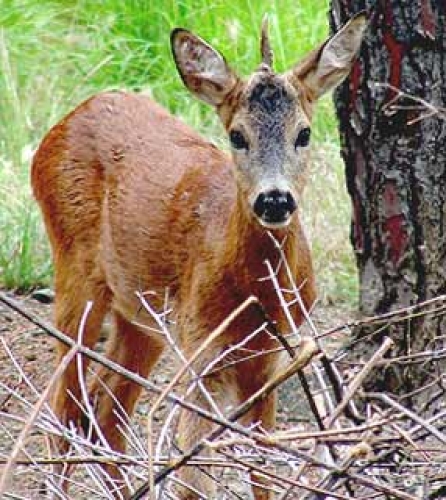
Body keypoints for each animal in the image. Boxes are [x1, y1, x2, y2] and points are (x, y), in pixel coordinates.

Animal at [32, 13, 366, 500]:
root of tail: (59, 127)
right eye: (237, 136)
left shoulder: (274, 355)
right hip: (76, 269)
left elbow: (263, 465)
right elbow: (193, 478)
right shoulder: (200, 346)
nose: (274, 200)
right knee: (64, 406)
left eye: (303, 133)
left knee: (106, 406)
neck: (257, 295)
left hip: (142, 315)